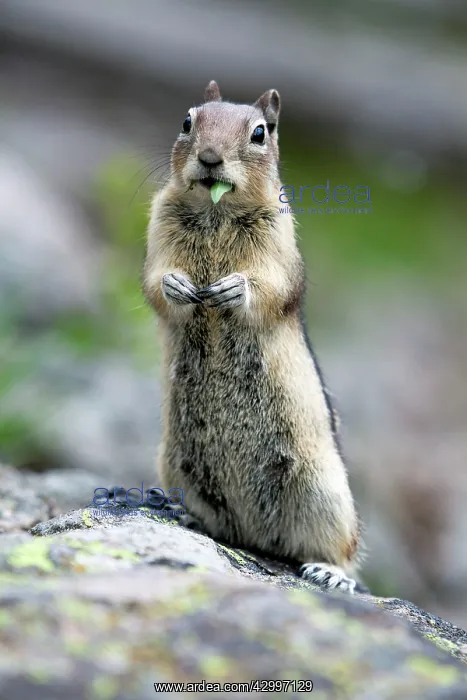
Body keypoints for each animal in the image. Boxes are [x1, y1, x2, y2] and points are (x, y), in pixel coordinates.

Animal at [143, 80, 363, 593]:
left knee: (345, 549)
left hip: (325, 491)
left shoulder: (279, 240)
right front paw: (177, 286)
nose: (209, 157)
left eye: (260, 132)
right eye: (187, 121)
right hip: (178, 463)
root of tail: (261, 540)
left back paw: (330, 572)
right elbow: (154, 281)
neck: (217, 210)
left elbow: (273, 287)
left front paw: (233, 289)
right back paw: (192, 518)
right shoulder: (158, 226)